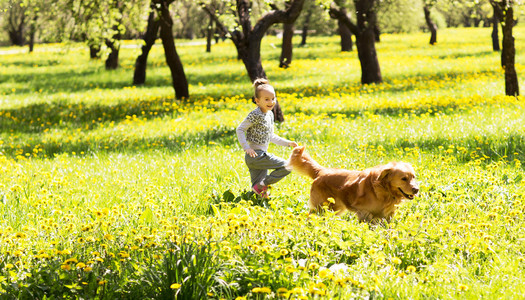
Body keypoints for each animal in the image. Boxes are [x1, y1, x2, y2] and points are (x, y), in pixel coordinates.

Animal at [286, 146, 418, 221]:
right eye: (404, 178)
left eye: (413, 177)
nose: (416, 189)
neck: (384, 190)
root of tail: (321, 171)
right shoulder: (364, 212)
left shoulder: (388, 215)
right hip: (321, 207)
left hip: (335, 208)